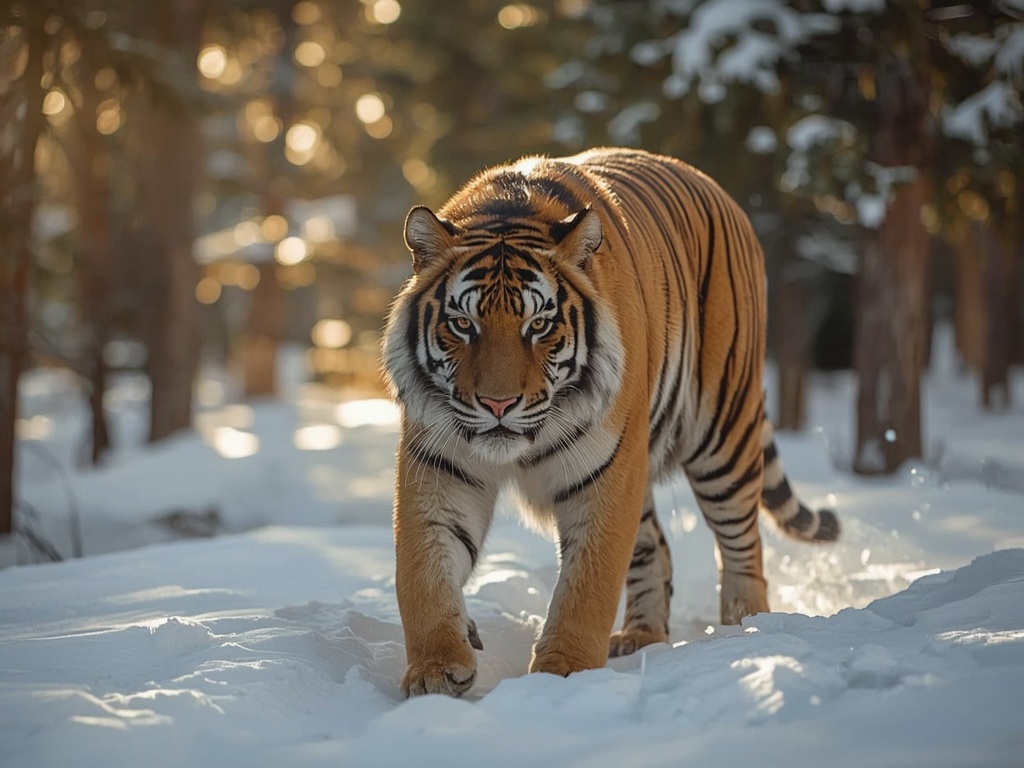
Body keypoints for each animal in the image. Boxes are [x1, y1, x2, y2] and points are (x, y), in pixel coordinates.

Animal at [381, 147, 839, 699]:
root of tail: (720, 190)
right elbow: (423, 571)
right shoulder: (439, 464)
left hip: (721, 437)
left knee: (742, 543)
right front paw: (436, 670)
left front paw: (562, 673)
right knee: (656, 548)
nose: (498, 404)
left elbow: (588, 584)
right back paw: (641, 636)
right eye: (462, 324)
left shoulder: (606, 474)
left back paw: (746, 627)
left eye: (539, 325)